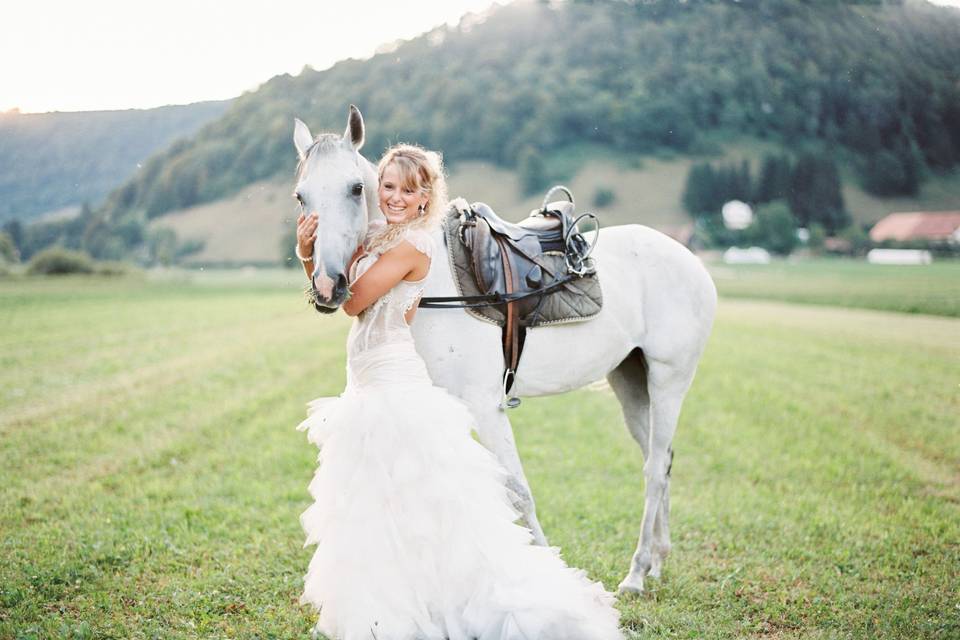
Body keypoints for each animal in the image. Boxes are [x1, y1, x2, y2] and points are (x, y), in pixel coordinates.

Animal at [296, 106, 716, 596]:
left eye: (356, 188)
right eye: (301, 196)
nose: (328, 285)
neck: (436, 279)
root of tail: (690, 259)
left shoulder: (484, 405)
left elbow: (517, 489)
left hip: (669, 380)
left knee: (653, 467)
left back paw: (636, 572)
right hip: (631, 380)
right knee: (660, 458)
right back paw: (657, 562)